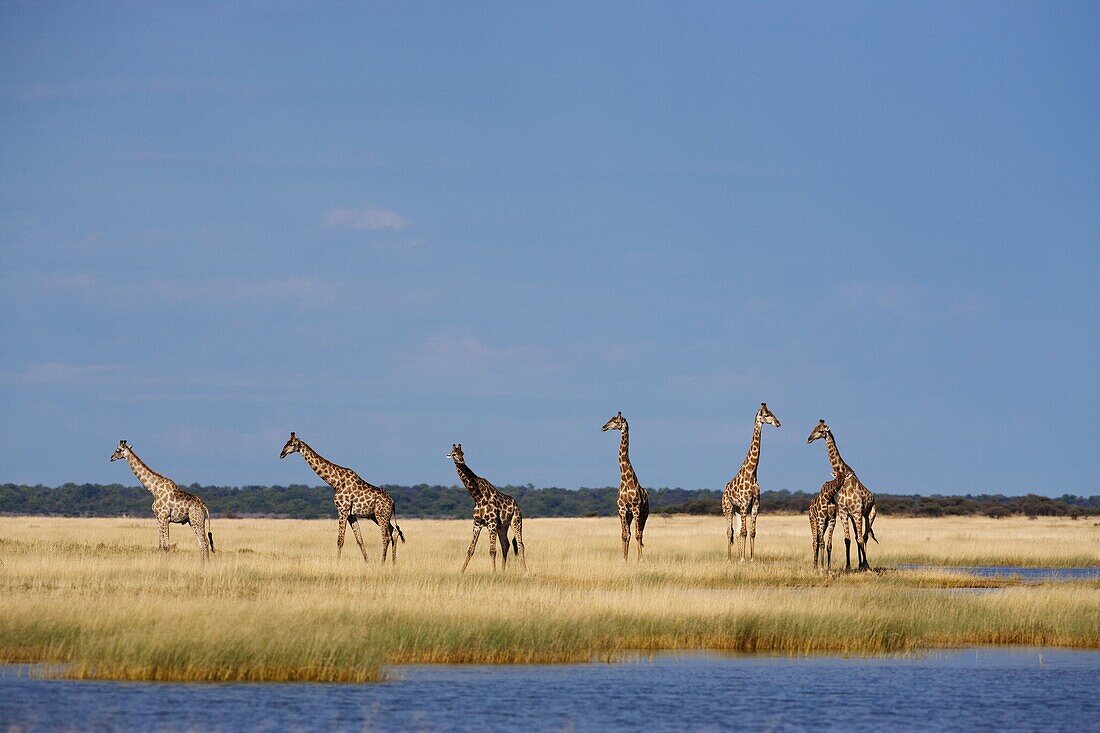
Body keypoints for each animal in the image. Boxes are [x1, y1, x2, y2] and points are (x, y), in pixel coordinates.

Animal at [279, 431, 404, 561]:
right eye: (286, 443)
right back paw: (393, 562)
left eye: (292, 444)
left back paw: (382, 562)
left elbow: (340, 540)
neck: (335, 482)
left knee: (386, 537)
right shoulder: (351, 515)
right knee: (394, 532)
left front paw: (337, 563)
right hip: (377, 516)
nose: (281, 454)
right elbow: (359, 540)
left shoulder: (342, 510)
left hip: (381, 515)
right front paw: (367, 561)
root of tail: (393, 502)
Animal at [448, 442, 530, 572]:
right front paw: (461, 571)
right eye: (453, 454)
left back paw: (524, 570)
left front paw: (493, 572)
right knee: (506, 544)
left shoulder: (491, 523)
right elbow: (470, 550)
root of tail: (517, 505)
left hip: (516, 521)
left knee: (520, 544)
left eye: (463, 453)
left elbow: (492, 551)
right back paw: (503, 571)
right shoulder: (477, 523)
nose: (461, 461)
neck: (477, 497)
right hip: (502, 526)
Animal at [598, 411, 646, 559]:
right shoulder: (622, 510)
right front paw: (624, 559)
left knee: (640, 533)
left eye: (615, 421)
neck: (625, 479)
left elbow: (637, 535)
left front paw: (640, 559)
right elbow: (625, 535)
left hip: (643, 513)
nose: (603, 427)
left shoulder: (636, 509)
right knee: (626, 533)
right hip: (626, 515)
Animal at [721, 402, 783, 561]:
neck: (752, 473)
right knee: (729, 531)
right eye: (766, 415)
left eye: (772, 412)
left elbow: (752, 531)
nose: (778, 423)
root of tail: (724, 490)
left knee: (736, 532)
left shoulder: (755, 504)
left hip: (737, 509)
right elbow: (744, 531)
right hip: (728, 507)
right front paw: (743, 559)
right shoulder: (744, 504)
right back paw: (730, 558)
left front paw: (751, 558)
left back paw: (737, 557)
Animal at [805, 416, 880, 572]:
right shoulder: (844, 513)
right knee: (858, 537)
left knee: (865, 537)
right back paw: (859, 564)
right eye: (813, 428)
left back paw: (865, 565)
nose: (809, 439)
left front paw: (866, 566)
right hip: (855, 517)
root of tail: (873, 497)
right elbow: (848, 540)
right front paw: (847, 566)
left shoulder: (856, 513)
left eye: (820, 431)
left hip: (869, 515)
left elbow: (860, 539)